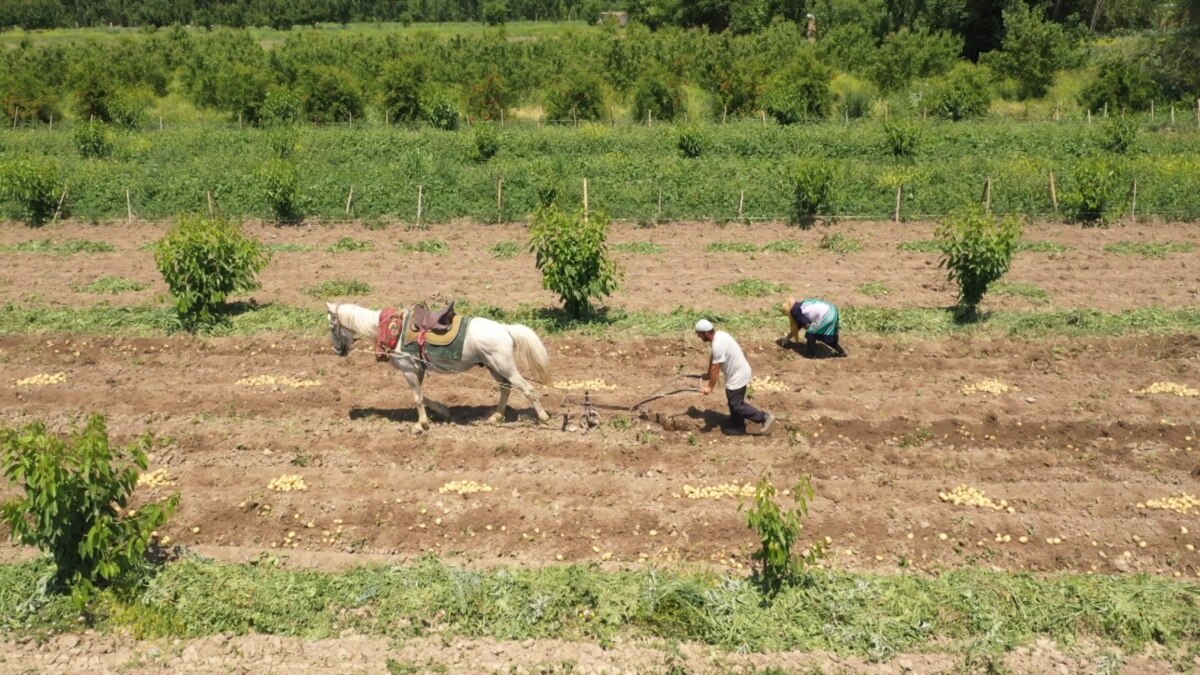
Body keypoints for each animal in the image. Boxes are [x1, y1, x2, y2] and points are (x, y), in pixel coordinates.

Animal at [328, 299, 552, 429]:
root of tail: (505, 328)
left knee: (528, 389)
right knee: (505, 388)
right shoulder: (417, 369)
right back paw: (495, 417)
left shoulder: (408, 369)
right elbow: (421, 396)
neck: (393, 329)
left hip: (505, 366)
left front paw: (421, 425)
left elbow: (417, 397)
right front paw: (443, 411)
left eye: (331, 325)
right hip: (494, 367)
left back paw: (543, 417)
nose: (338, 351)